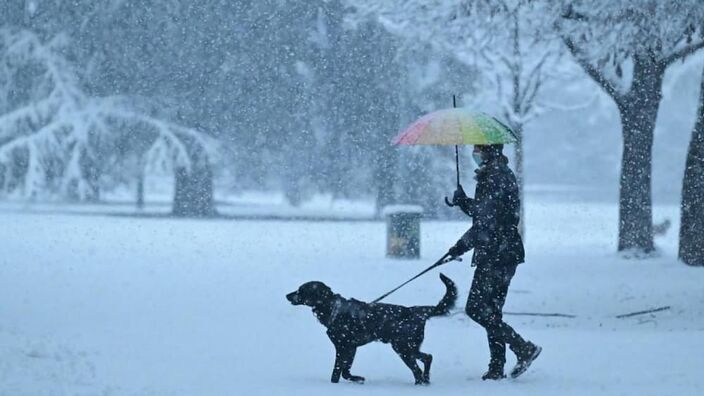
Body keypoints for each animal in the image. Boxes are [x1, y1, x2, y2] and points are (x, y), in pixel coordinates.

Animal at [286, 272, 456, 384]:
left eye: (301, 290)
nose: (287, 295)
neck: (332, 308)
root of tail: (415, 311)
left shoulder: (343, 347)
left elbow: (337, 371)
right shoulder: (351, 347)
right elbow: (345, 371)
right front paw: (357, 379)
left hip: (403, 348)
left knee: (418, 369)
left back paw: (420, 383)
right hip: (409, 347)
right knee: (428, 357)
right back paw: (426, 381)